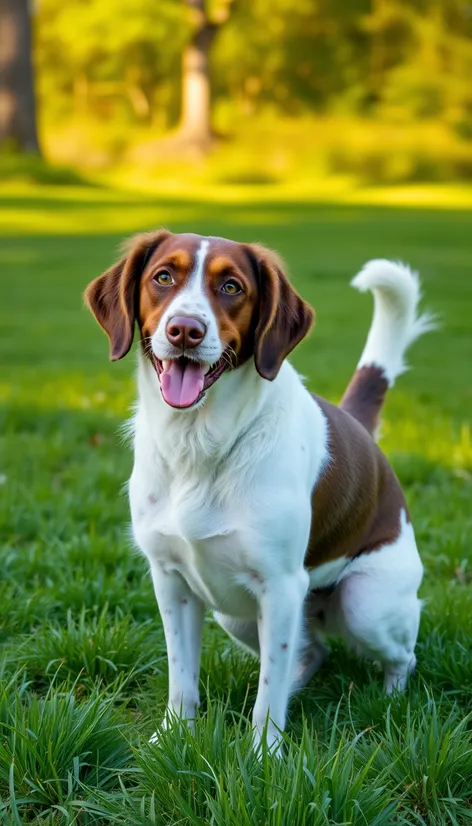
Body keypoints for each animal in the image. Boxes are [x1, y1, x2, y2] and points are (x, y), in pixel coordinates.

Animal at [85, 229, 432, 748]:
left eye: (232, 287)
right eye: (162, 277)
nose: (184, 330)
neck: (199, 443)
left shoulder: (282, 587)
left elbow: (268, 696)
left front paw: (265, 755)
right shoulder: (170, 580)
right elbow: (181, 677)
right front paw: (171, 741)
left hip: (365, 604)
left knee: (399, 656)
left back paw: (391, 703)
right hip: (234, 614)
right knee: (312, 652)